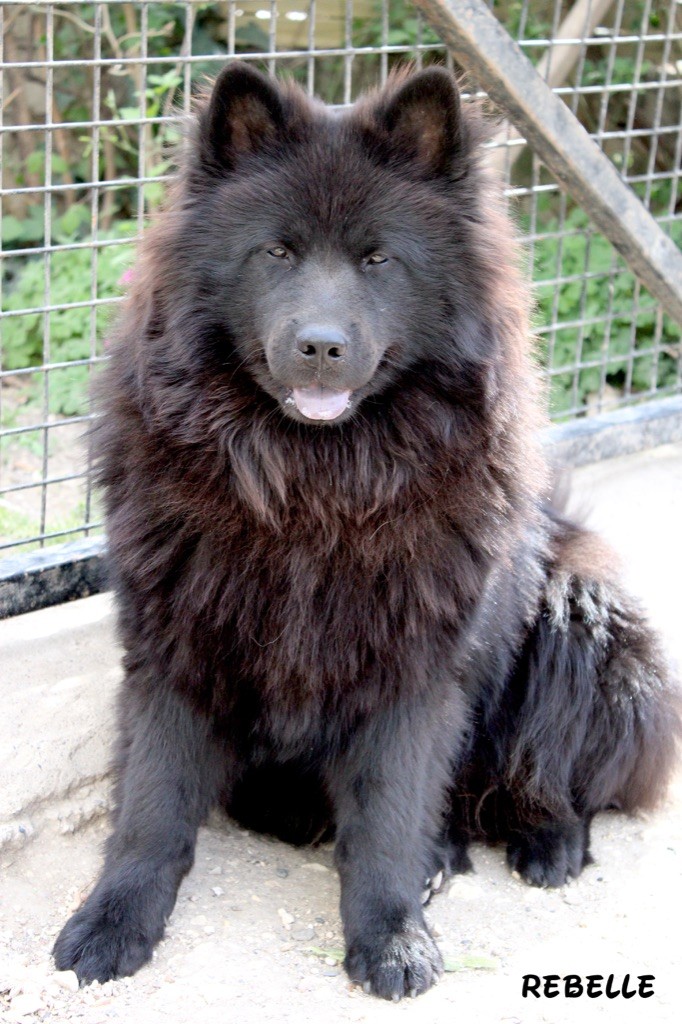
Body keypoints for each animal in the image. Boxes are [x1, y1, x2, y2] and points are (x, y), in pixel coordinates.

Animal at [55, 61, 675, 999]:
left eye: (379, 259)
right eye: (276, 252)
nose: (321, 346)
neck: (316, 487)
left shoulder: (414, 669)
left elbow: (387, 814)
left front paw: (392, 938)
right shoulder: (175, 643)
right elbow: (152, 807)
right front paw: (113, 920)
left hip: (580, 613)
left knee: (553, 773)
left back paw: (545, 840)